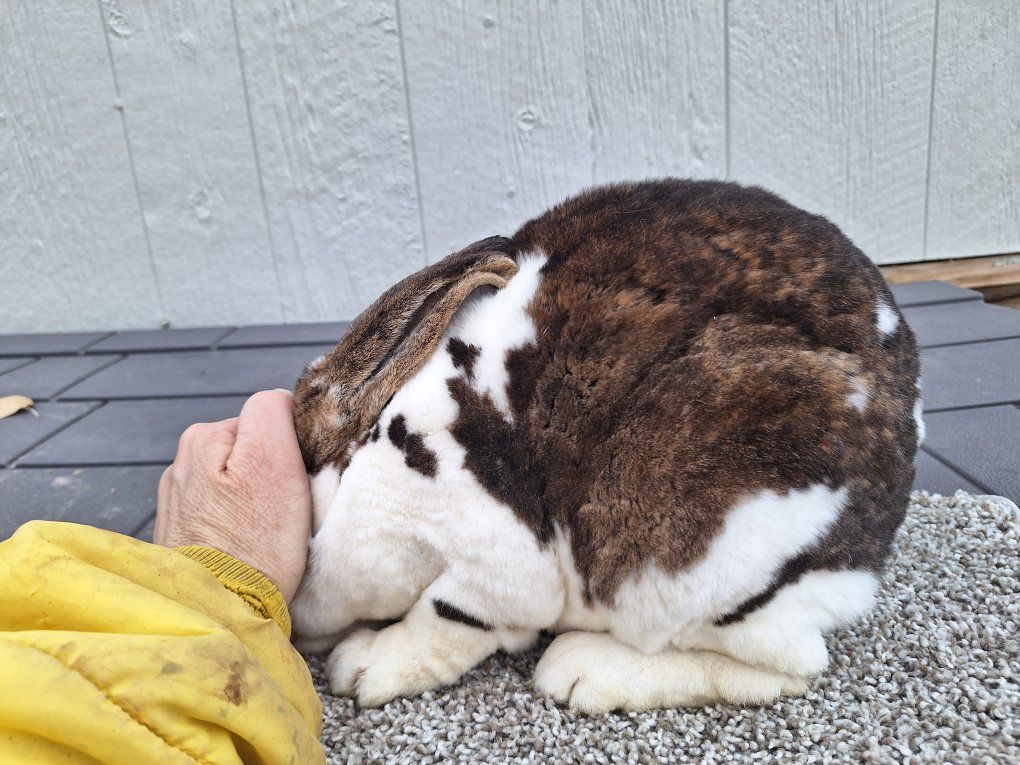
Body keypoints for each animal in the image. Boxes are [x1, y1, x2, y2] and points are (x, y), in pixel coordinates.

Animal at [289, 179, 922, 712]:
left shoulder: (491, 559)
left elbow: (446, 620)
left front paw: (363, 669)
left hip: (694, 561)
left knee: (787, 666)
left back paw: (581, 673)